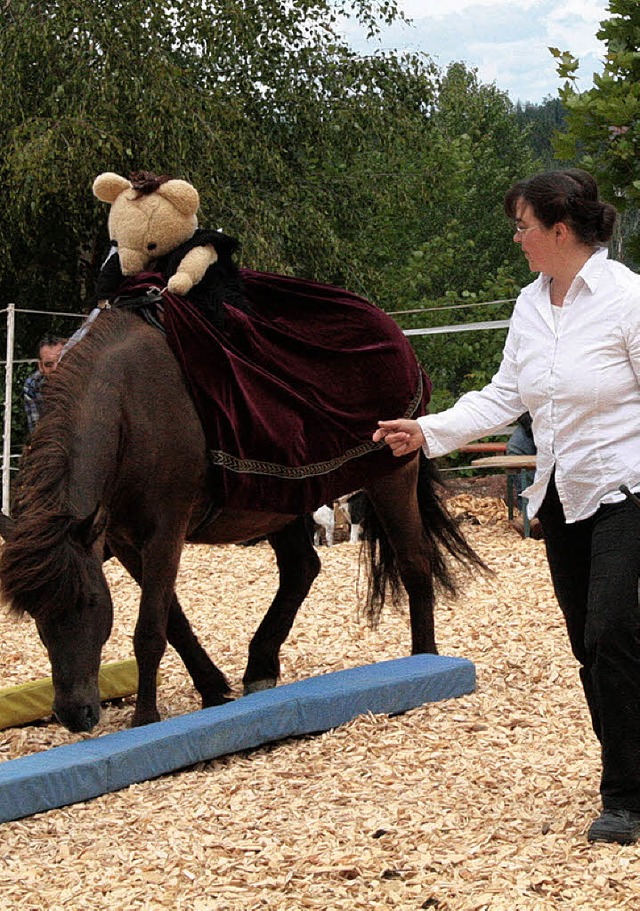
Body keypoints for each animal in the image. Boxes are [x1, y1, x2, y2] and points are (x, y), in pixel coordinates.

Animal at [0, 306, 480, 732]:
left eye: (88, 602)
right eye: (36, 613)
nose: (74, 714)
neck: (127, 411)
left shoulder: (163, 532)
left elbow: (150, 628)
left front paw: (146, 718)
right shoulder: (124, 542)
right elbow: (174, 621)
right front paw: (212, 689)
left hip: (390, 476)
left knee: (414, 563)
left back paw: (425, 659)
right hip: (284, 501)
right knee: (302, 568)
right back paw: (260, 665)